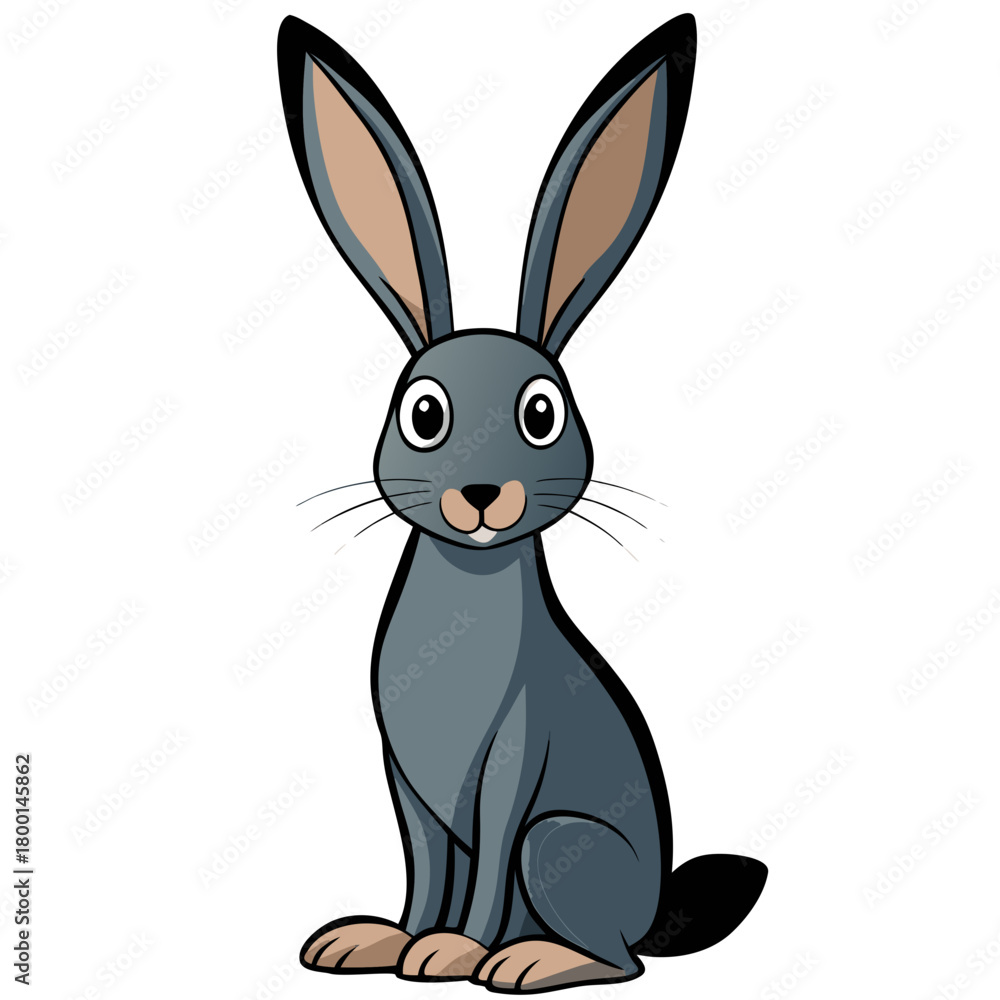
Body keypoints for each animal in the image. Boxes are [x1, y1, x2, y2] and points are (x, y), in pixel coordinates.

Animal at [276, 12, 766, 993]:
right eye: (424, 413)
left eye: (542, 413)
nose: (479, 494)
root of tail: (652, 911)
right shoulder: (405, 782)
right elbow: (424, 864)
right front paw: (386, 940)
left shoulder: (515, 763)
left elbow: (487, 861)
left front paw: (456, 950)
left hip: (561, 842)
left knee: (618, 960)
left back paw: (532, 958)